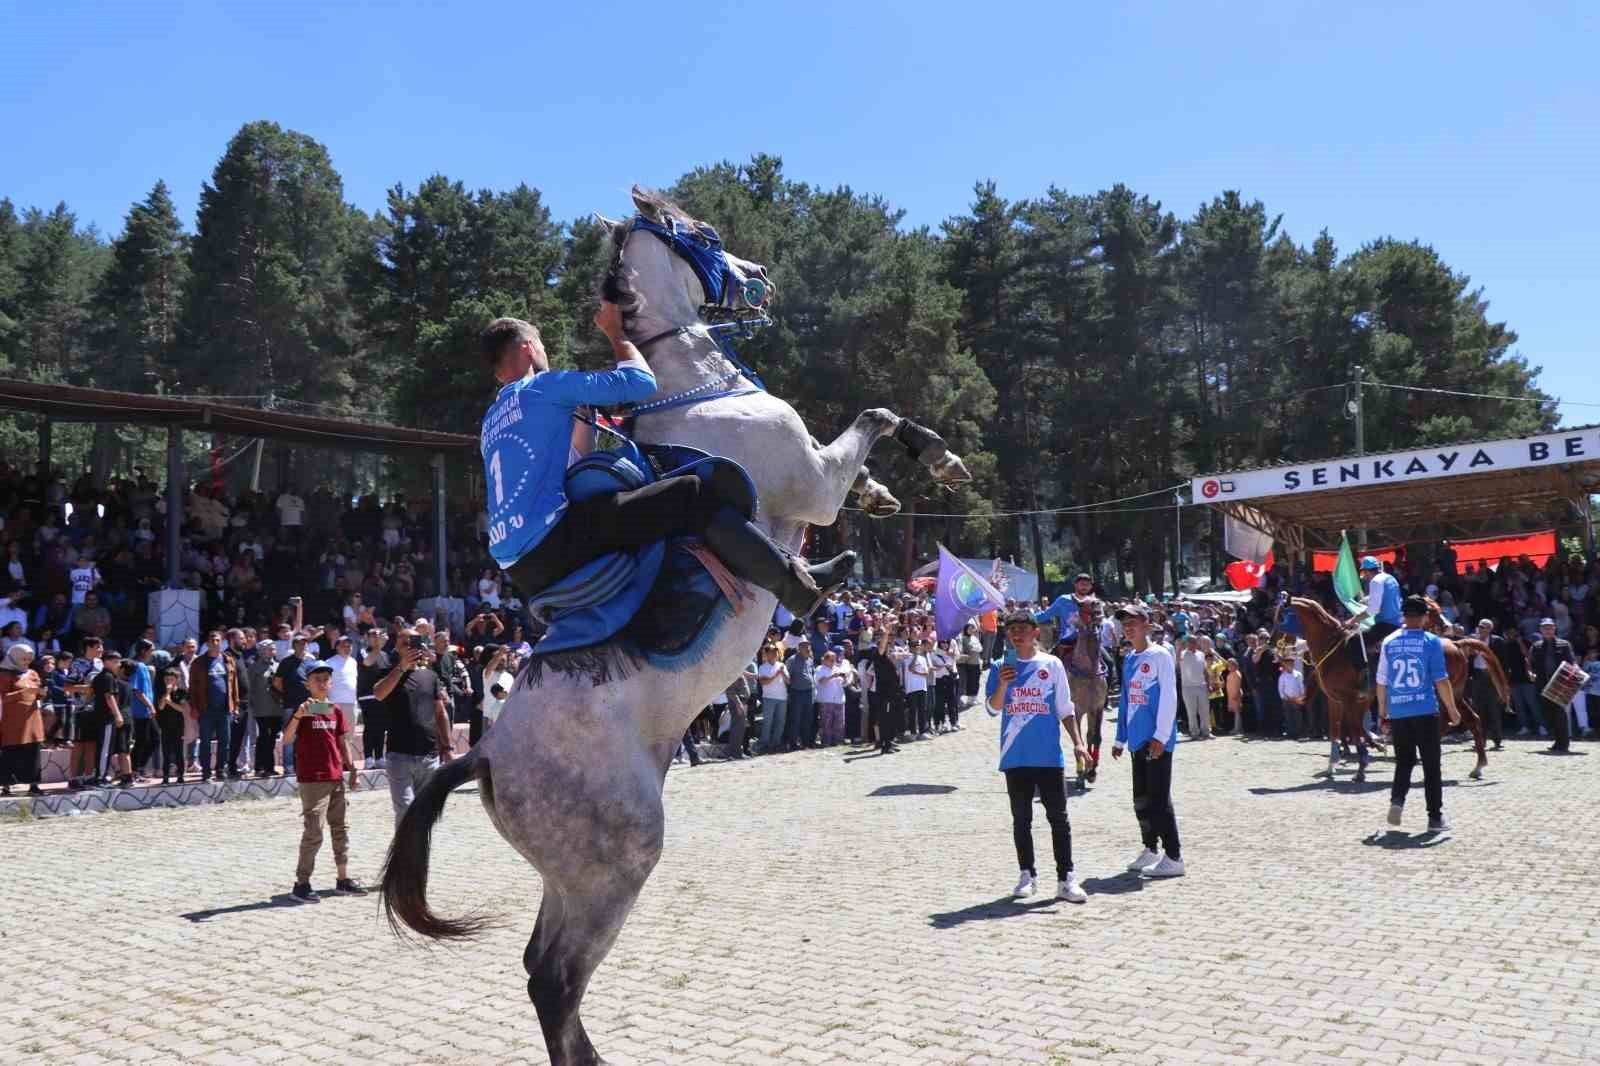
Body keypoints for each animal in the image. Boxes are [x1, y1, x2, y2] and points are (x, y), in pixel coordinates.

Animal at [1286, 598, 1497, 781]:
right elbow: (1339, 730)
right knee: (1470, 719)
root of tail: (1455, 644)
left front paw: (1367, 758)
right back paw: (1477, 767)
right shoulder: (1338, 700)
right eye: (1433, 610)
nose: (1448, 626)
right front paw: (1334, 766)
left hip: (1443, 694)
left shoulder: (1352, 699)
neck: (1335, 649)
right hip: (1455, 694)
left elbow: (1356, 728)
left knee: (1448, 720)